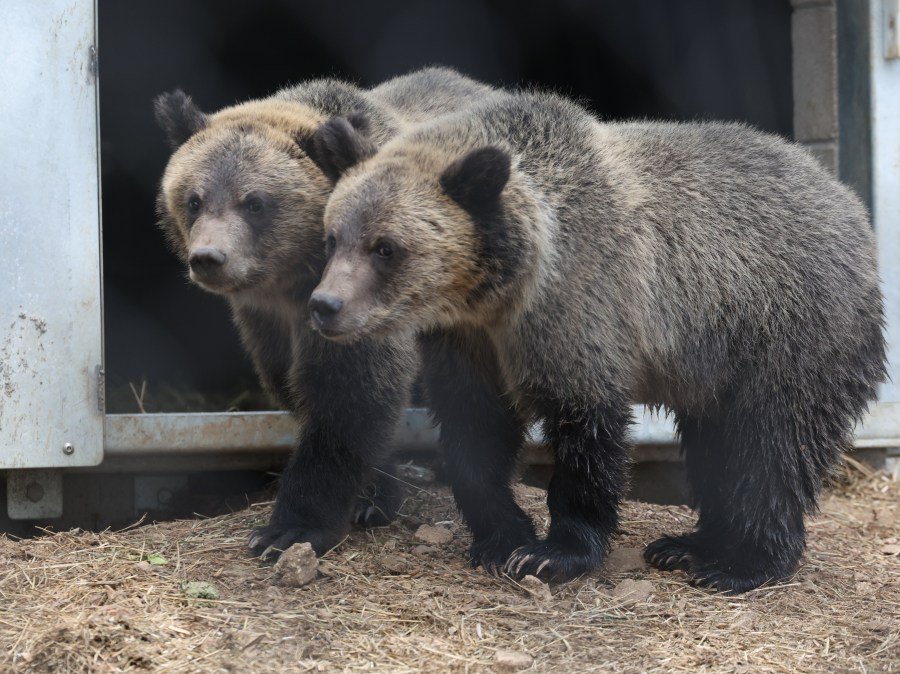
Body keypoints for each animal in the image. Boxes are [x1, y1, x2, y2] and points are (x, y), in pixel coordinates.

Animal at [154, 67, 501, 560]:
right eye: (194, 199)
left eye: (254, 202)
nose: (208, 258)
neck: (290, 281)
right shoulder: (267, 322)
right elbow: (293, 384)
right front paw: (373, 494)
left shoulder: (358, 300)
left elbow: (348, 396)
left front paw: (289, 528)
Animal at [303, 90, 887, 592]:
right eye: (332, 237)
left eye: (386, 247)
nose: (325, 304)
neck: (501, 291)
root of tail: (848, 200)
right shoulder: (467, 342)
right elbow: (475, 430)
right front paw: (502, 537)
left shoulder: (579, 311)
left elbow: (586, 431)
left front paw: (553, 552)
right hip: (717, 366)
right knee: (717, 446)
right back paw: (688, 544)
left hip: (784, 331)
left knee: (772, 445)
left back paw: (740, 563)